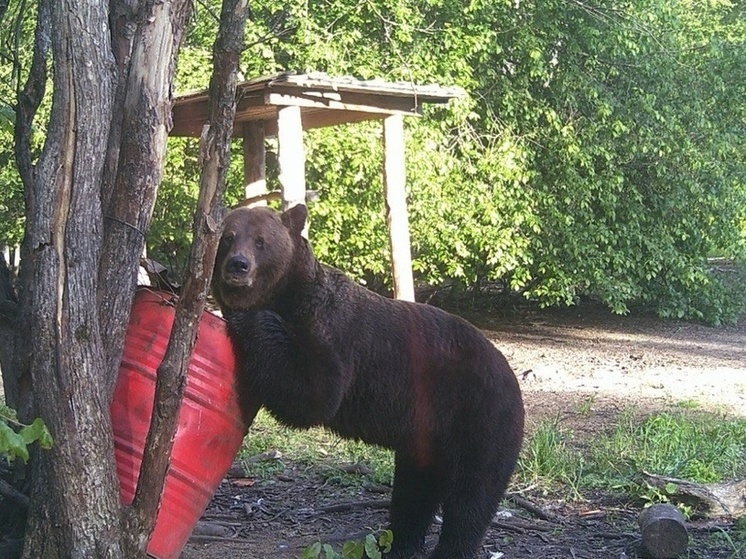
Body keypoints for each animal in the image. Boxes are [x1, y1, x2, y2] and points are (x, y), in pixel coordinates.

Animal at [209, 206, 524, 559]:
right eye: (228, 237)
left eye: (261, 241)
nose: (238, 265)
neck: (289, 294)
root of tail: (510, 371)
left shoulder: (332, 332)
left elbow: (313, 394)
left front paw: (243, 315)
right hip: (427, 435)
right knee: (414, 492)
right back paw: (399, 544)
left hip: (478, 414)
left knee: (472, 491)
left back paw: (450, 548)